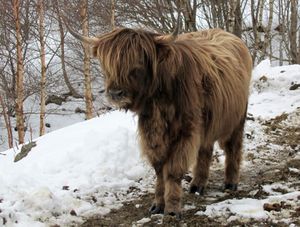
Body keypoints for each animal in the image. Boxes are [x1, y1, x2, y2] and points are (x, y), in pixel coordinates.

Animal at [66, 24, 253, 217]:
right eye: (107, 64)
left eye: (138, 62)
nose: (115, 93)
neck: (157, 101)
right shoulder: (151, 134)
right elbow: (159, 170)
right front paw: (157, 205)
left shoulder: (185, 131)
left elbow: (172, 170)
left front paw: (172, 209)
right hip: (206, 124)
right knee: (205, 151)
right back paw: (197, 185)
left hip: (236, 120)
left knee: (232, 148)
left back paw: (230, 183)